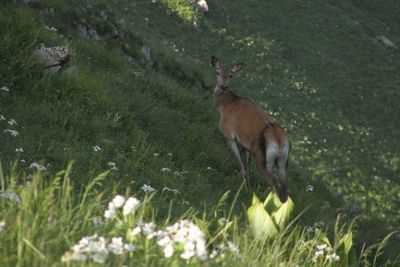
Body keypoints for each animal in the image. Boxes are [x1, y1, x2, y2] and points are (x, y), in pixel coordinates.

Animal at [212, 56, 290, 203]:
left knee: (274, 182)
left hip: (261, 156)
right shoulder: (244, 145)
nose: (222, 87)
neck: (224, 107)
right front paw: (246, 186)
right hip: (282, 160)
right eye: (218, 72)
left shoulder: (229, 135)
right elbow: (246, 167)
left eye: (231, 75)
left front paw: (240, 187)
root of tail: (279, 140)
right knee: (285, 187)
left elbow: (239, 164)